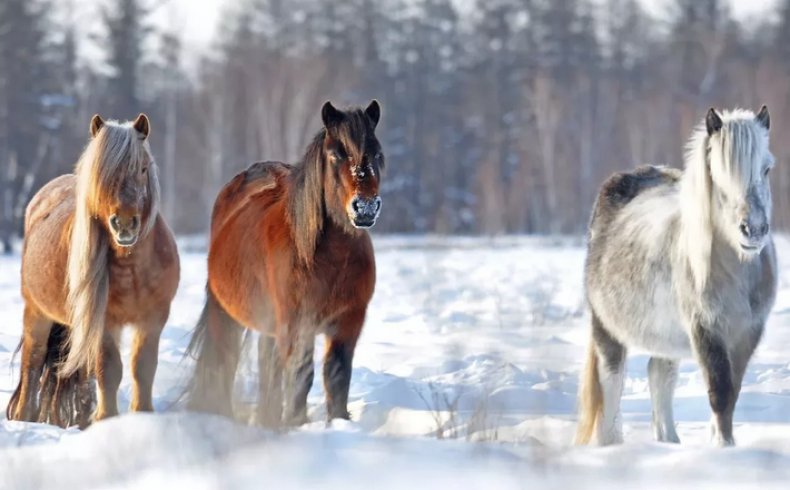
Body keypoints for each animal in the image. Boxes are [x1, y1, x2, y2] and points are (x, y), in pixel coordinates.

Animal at [6, 113, 180, 426]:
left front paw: (142, 415)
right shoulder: (105, 322)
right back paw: (27, 417)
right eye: (103, 174)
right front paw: (107, 418)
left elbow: (143, 367)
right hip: (36, 312)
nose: (125, 223)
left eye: (143, 168)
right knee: (33, 363)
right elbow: (109, 369)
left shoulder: (154, 318)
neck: (132, 267)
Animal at [186, 98, 384, 424]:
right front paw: (296, 423)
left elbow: (337, 377)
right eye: (335, 154)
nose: (365, 207)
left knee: (269, 370)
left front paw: (338, 423)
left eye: (378, 153)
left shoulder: (348, 323)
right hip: (226, 313)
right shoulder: (297, 325)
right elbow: (302, 377)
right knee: (227, 361)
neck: (328, 260)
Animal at [576, 105, 780, 446]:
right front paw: (724, 447)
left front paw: (723, 444)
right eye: (719, 173)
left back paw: (669, 442)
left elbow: (733, 391)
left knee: (659, 375)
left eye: (766, 169)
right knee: (612, 382)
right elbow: (720, 391)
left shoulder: (747, 333)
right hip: (607, 328)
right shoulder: (705, 329)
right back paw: (609, 445)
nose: (753, 230)